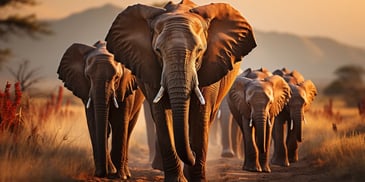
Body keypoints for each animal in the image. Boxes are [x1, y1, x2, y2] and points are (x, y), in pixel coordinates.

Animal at [57, 40, 144, 179]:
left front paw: (118, 176)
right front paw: (103, 172)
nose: (105, 173)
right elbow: (94, 123)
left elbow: (119, 123)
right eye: (88, 77)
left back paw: (126, 174)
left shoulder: (125, 88)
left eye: (117, 78)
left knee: (129, 128)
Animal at [104, 0, 255, 181]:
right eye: (158, 51)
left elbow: (200, 114)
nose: (194, 155)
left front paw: (196, 177)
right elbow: (161, 114)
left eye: (200, 51)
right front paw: (178, 178)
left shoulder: (211, 66)